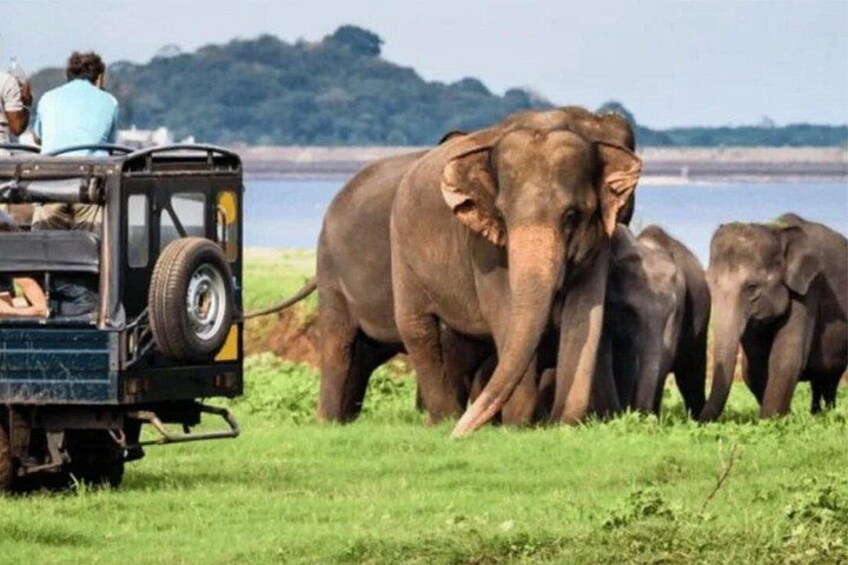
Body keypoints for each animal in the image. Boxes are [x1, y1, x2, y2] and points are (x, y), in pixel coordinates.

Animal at [316, 107, 637, 425]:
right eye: (502, 216)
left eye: (571, 216)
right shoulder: (482, 246)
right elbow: (503, 311)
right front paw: (517, 425)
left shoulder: (600, 238)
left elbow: (586, 315)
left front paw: (561, 423)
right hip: (377, 256)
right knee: (395, 331)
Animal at [699, 213, 848, 421]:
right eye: (709, 284)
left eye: (752, 287)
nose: (696, 420)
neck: (776, 230)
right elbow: (753, 368)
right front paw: (783, 418)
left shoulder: (808, 290)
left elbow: (785, 358)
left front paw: (773, 420)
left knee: (829, 379)